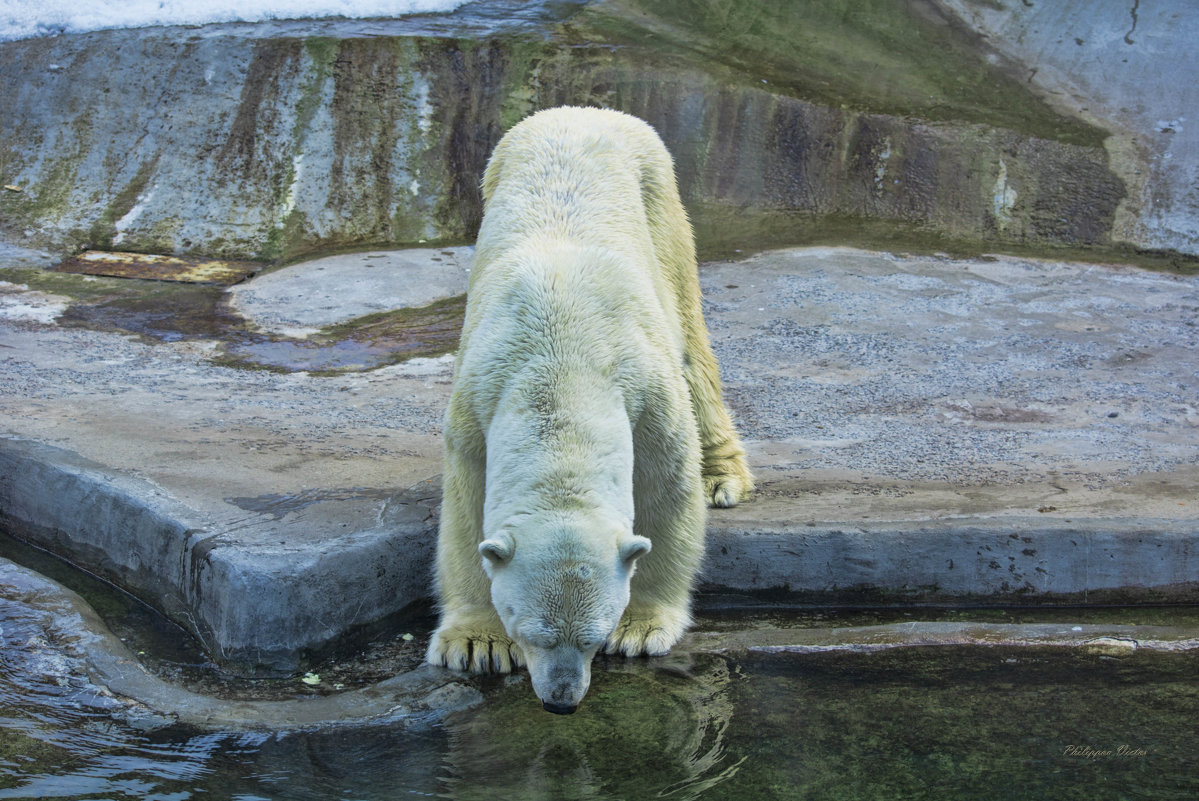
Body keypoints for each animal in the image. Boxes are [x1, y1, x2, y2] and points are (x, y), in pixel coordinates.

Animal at [429, 106, 748, 714]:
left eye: (595, 637)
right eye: (531, 632)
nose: (562, 701)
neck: (562, 370)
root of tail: (582, 110)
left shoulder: (645, 388)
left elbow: (668, 486)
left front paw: (644, 627)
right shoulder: (478, 399)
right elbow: (463, 509)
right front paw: (477, 643)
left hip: (661, 202)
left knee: (692, 342)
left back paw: (724, 478)